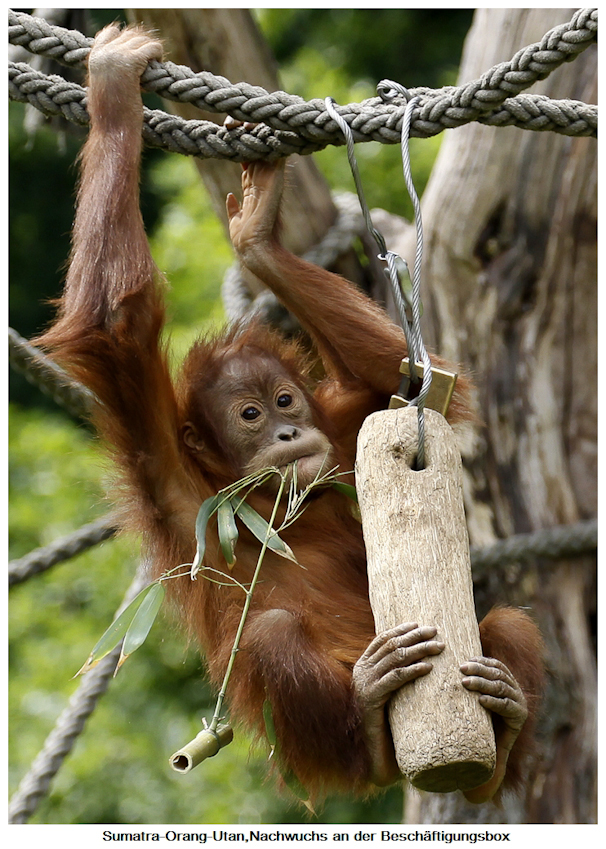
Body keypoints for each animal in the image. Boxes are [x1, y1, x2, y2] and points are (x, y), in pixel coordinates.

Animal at [37, 26, 544, 804]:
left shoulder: (335, 429)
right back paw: (371, 725)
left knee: (510, 623)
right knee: (274, 635)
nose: (284, 430)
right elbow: (115, 323)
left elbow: (414, 382)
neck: (265, 500)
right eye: (247, 414)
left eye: (283, 401)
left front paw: (255, 231)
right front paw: (115, 86)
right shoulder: (165, 471)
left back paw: (503, 729)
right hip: (317, 753)